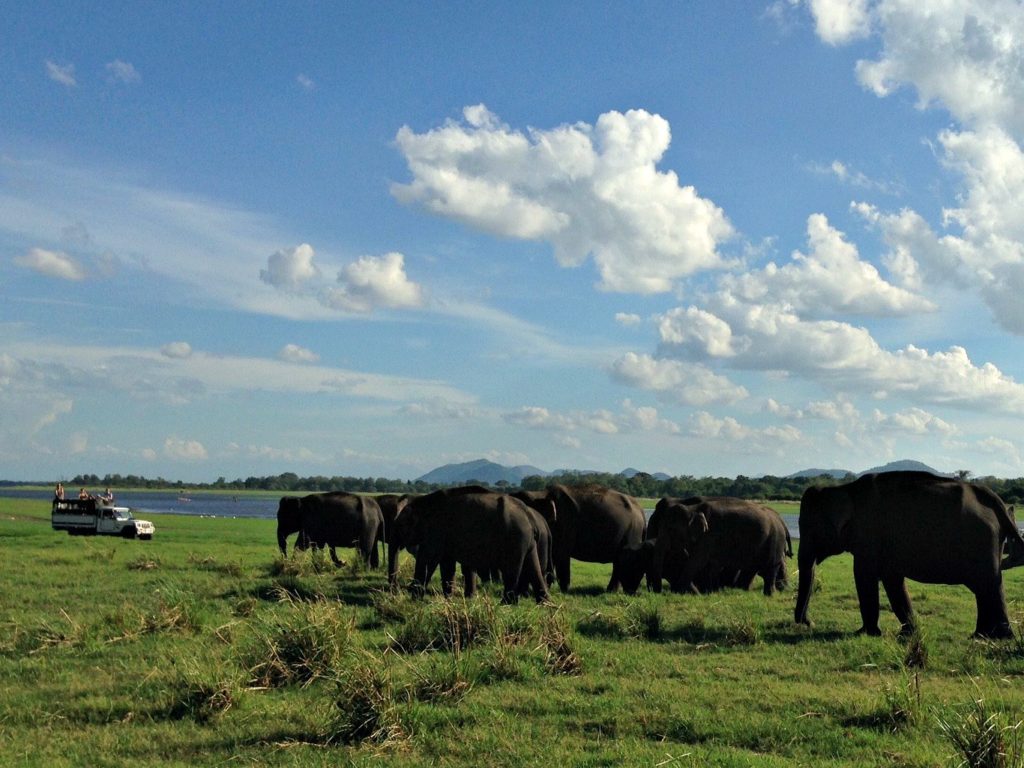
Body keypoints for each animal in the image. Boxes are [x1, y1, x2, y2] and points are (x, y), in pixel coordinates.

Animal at [395, 487, 552, 606]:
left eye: (401, 526)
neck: (422, 502)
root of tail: (529, 514)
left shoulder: (435, 531)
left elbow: (428, 559)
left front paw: (414, 600)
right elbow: (447, 565)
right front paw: (448, 600)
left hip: (515, 537)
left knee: (512, 569)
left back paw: (506, 604)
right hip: (526, 540)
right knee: (534, 566)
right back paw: (544, 604)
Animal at [647, 495, 790, 598]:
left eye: (671, 529)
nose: (656, 593)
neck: (692, 508)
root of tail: (781, 521)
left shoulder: (709, 536)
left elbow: (696, 562)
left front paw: (679, 592)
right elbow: (708, 564)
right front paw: (708, 592)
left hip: (775, 539)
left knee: (771, 566)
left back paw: (770, 594)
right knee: (753, 567)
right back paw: (744, 590)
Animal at [794, 473, 1024, 638]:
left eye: (807, 527)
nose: (808, 623)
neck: (845, 488)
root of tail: (995, 500)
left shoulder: (869, 536)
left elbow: (863, 575)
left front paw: (866, 633)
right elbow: (892, 580)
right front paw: (907, 633)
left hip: (981, 542)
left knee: (988, 585)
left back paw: (995, 637)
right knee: (987, 588)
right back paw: (984, 636)